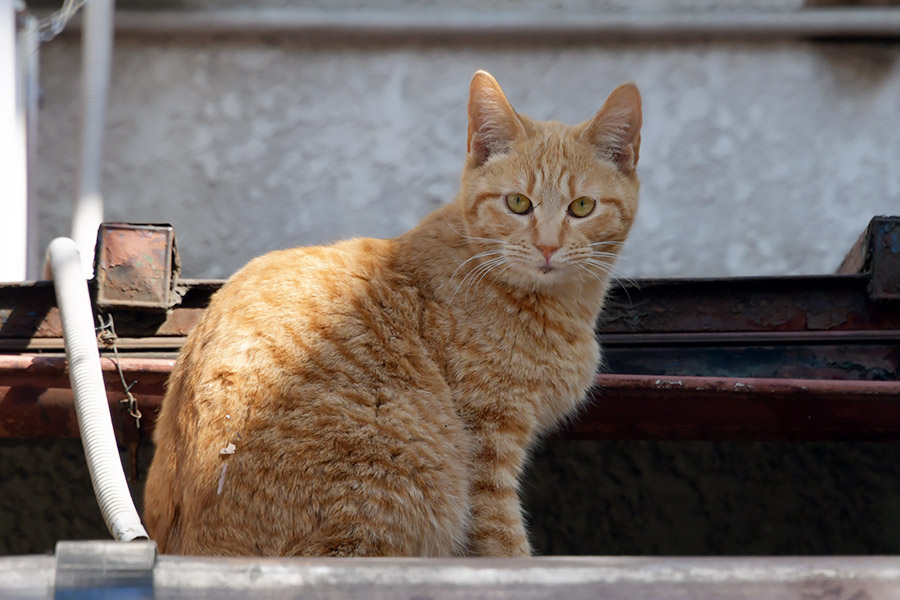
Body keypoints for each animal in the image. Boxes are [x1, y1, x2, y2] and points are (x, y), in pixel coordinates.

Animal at [144, 71, 640, 556]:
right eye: (518, 203)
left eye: (582, 207)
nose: (548, 246)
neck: (559, 306)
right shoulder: (486, 445)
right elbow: (503, 545)